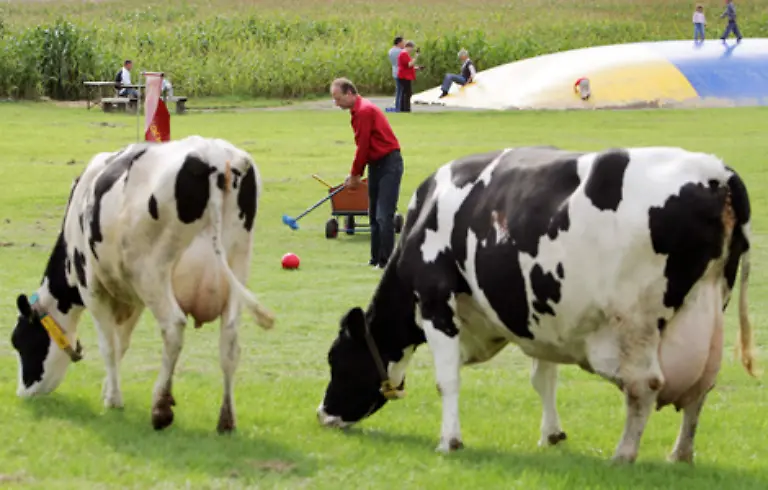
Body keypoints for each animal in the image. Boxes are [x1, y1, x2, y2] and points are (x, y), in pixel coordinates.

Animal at [11, 136, 275, 433]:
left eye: (19, 341)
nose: (23, 392)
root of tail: (216, 158)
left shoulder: (92, 287)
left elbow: (109, 345)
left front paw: (113, 399)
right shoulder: (132, 296)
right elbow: (122, 342)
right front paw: (108, 390)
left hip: (153, 273)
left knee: (173, 326)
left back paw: (161, 408)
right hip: (237, 268)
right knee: (229, 340)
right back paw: (226, 419)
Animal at [316, 145, 757, 464]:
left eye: (336, 358)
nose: (322, 414)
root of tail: (718, 173)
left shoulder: (436, 302)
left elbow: (447, 380)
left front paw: (449, 441)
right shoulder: (540, 316)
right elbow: (543, 379)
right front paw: (552, 435)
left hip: (636, 321)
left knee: (643, 386)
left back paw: (624, 454)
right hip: (709, 306)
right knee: (700, 387)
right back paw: (680, 454)